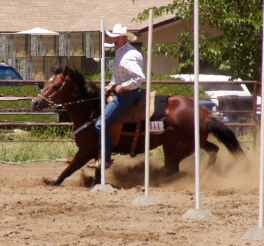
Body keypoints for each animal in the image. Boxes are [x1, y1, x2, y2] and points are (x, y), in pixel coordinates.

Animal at [32, 66, 246, 185]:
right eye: (45, 83)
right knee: (213, 149)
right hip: (192, 143)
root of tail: (204, 113)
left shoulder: (86, 150)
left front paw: (52, 182)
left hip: (175, 148)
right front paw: (95, 182)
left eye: (55, 86)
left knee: (173, 170)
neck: (92, 110)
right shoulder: (97, 152)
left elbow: (69, 168)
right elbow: (96, 169)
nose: (35, 102)